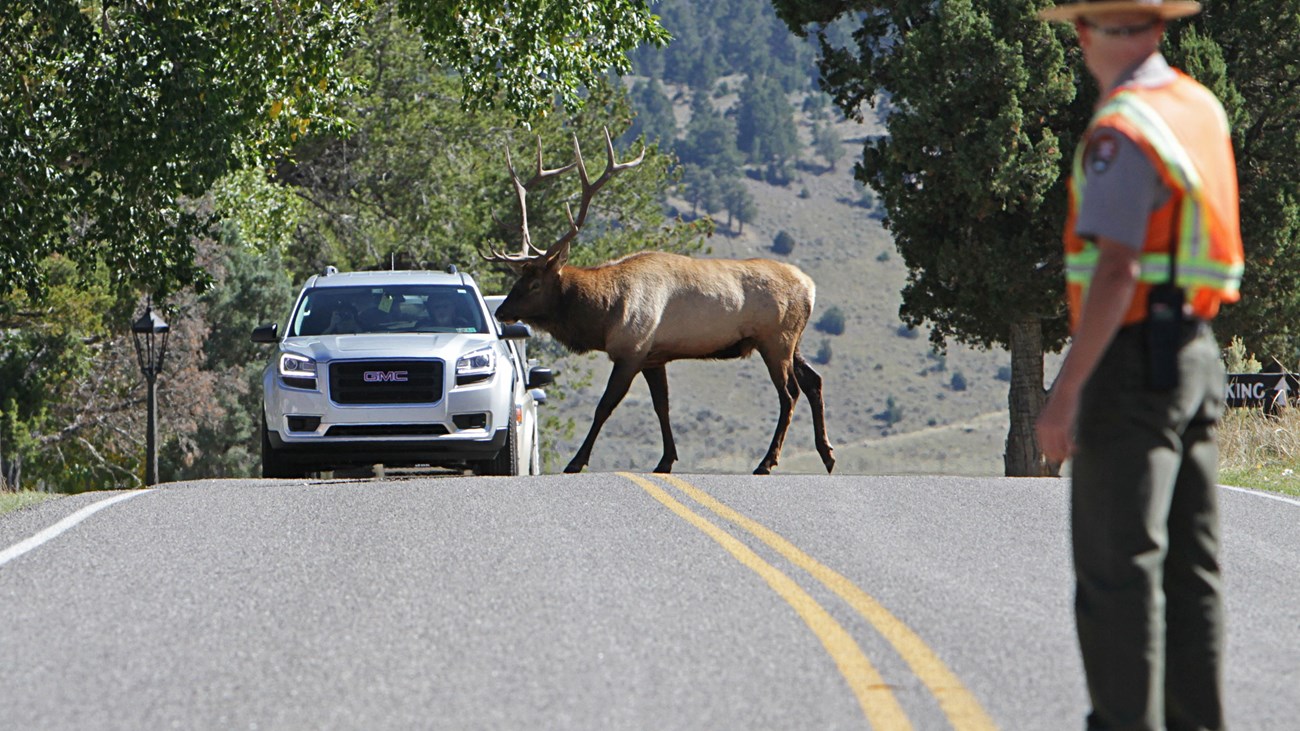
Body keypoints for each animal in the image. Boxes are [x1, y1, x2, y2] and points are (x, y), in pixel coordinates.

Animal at [486, 129, 832, 473]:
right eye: (518, 279)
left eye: (533, 284)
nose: (501, 311)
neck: (605, 315)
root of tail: (811, 287)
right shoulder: (654, 357)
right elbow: (661, 406)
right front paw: (665, 460)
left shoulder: (632, 350)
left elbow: (604, 406)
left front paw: (576, 462)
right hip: (791, 341)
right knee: (814, 381)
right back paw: (826, 454)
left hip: (776, 339)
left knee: (789, 393)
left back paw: (767, 462)